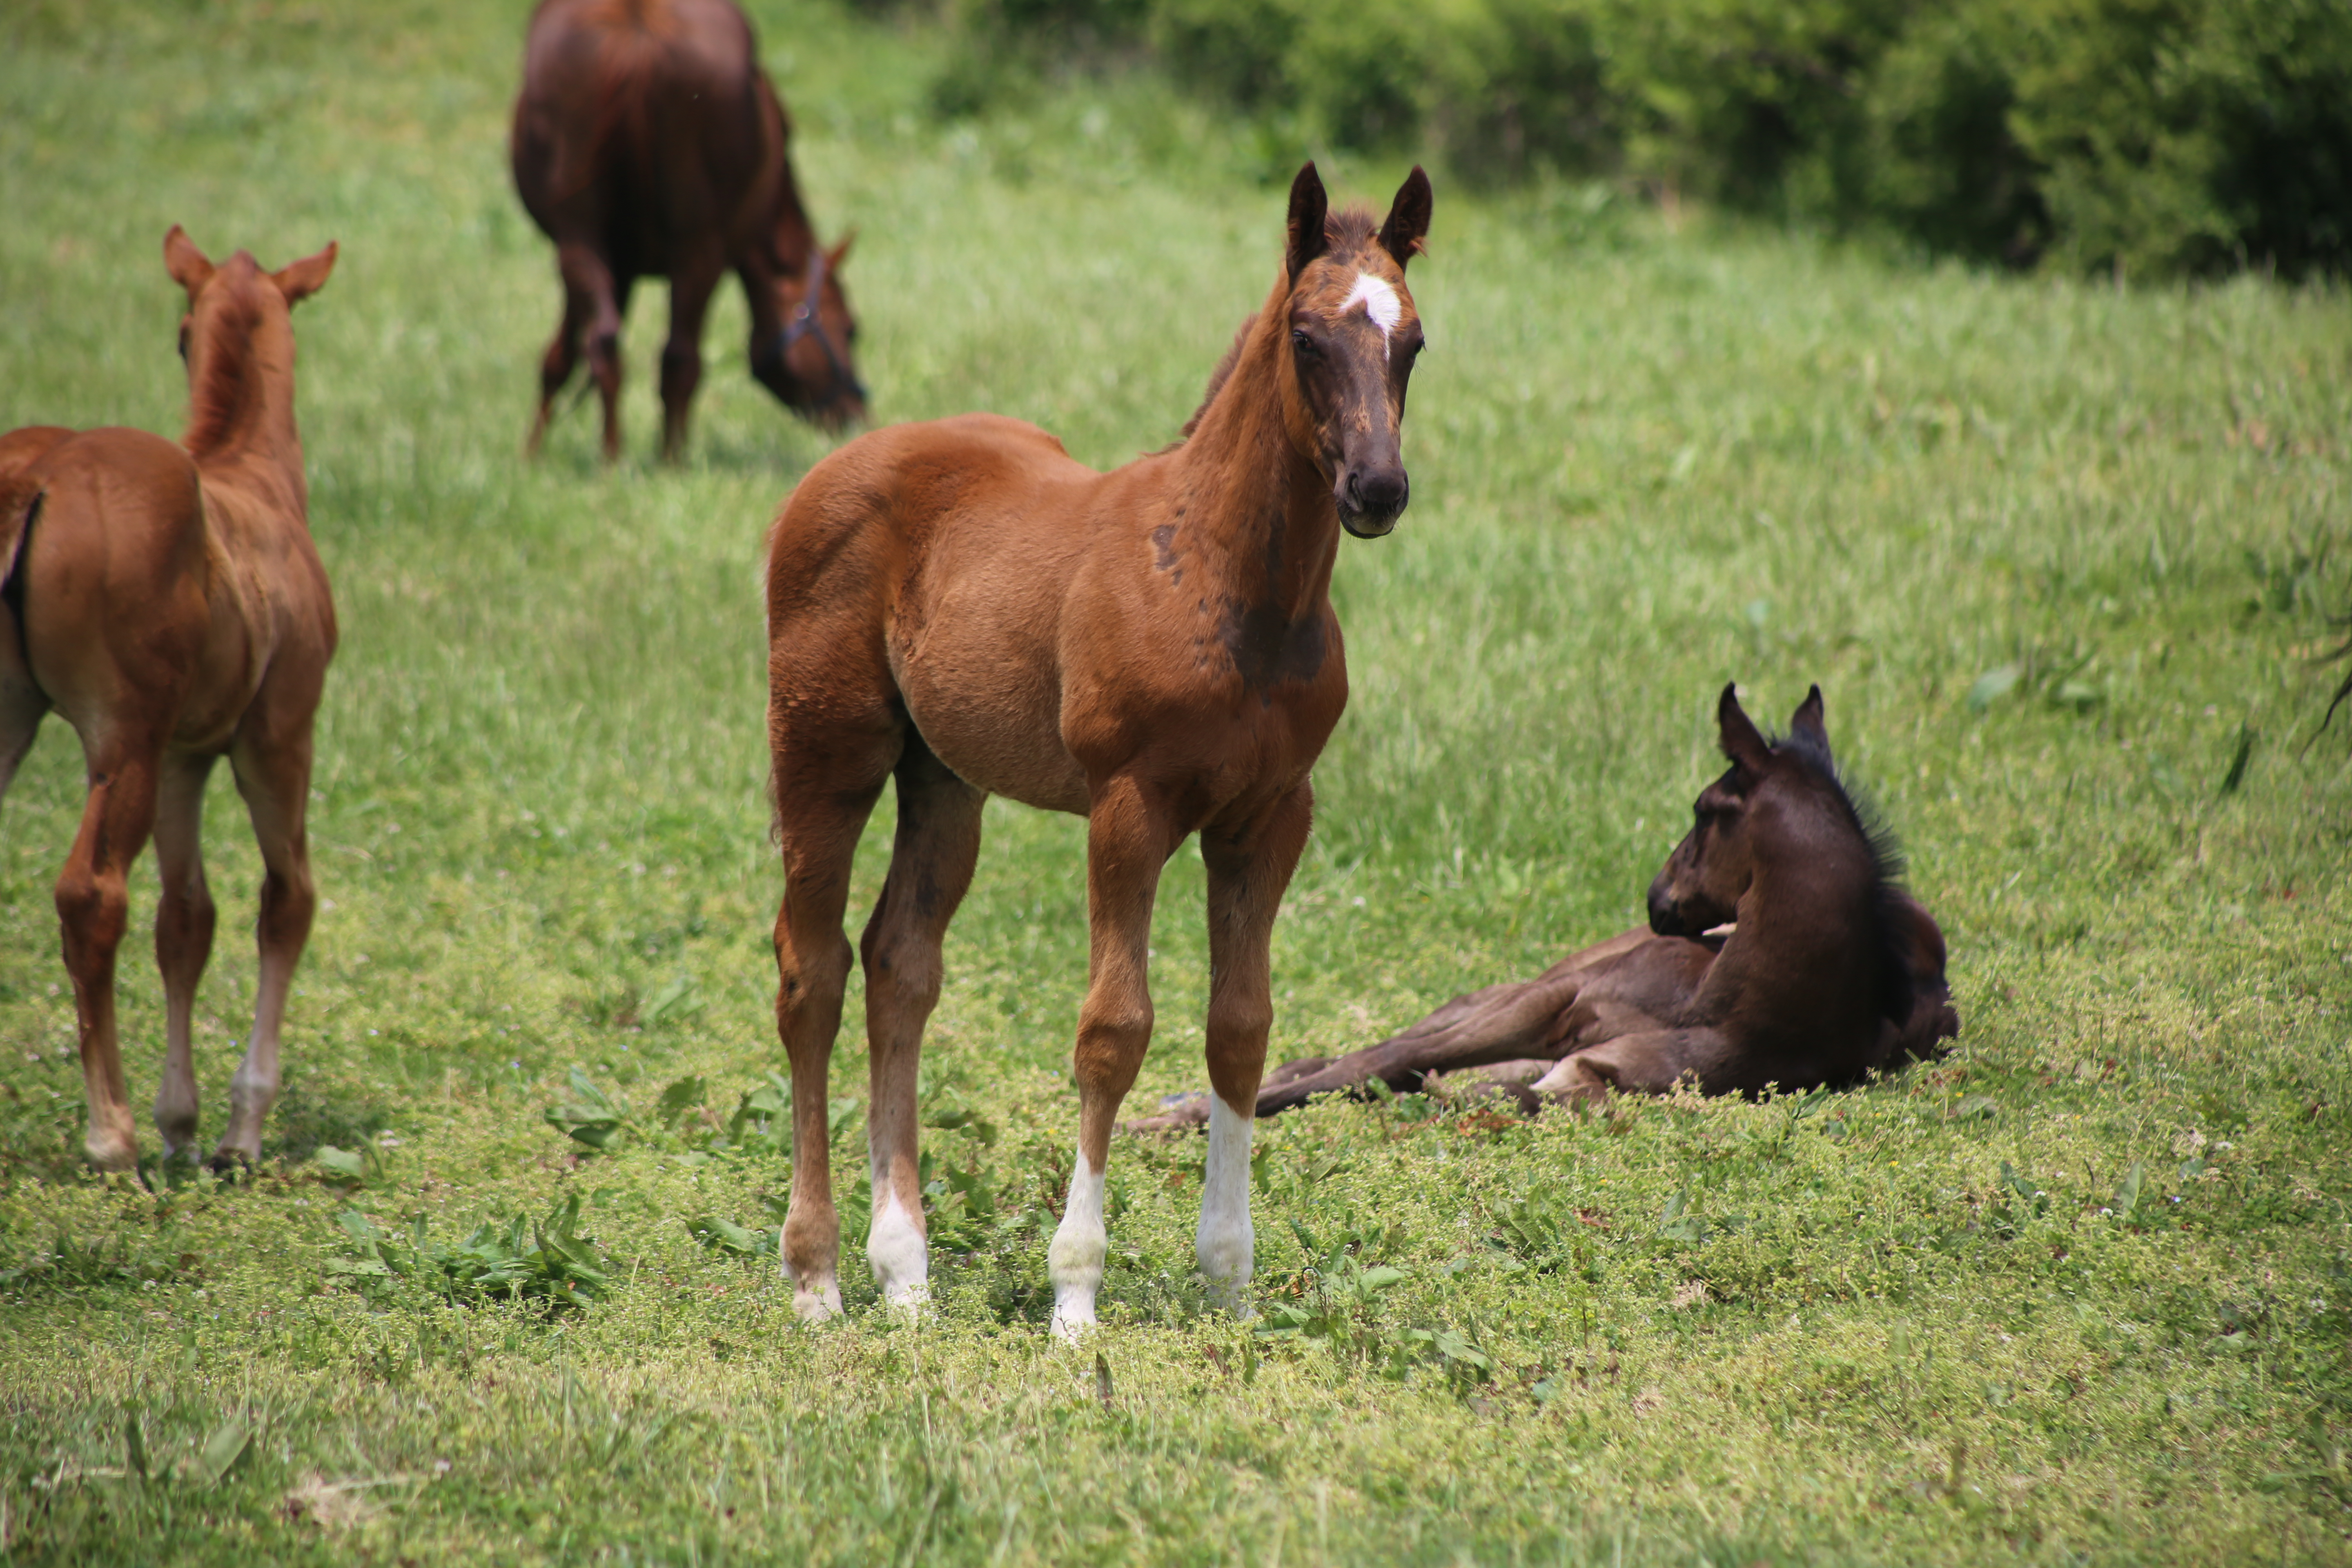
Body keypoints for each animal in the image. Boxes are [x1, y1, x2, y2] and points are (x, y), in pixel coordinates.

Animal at [0, 227, 341, 1171]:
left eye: (182, 331)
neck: (254, 479)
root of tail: (34, 480)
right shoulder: (279, 736)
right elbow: (286, 900)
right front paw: (239, 1130)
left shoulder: (189, 755)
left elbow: (187, 919)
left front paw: (182, 1123)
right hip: (125, 735)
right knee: (93, 895)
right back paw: (110, 1135)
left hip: (36, 723)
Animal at [515, 0, 875, 461]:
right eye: (850, 329)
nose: (856, 417)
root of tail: (638, 21)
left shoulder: (608, 256)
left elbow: (561, 354)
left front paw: (532, 454)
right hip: (699, 250)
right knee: (677, 357)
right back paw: (671, 461)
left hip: (592, 239)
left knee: (616, 345)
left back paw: (620, 459)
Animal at [771, 165, 1430, 1335]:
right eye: (1306, 337)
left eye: (1414, 340)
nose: (1376, 490)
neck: (1224, 581)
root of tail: (831, 468)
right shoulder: (1131, 807)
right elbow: (1114, 1029)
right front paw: (1074, 1293)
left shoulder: (1271, 814)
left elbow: (1241, 1028)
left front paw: (1230, 1280)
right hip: (825, 754)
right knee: (812, 972)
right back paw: (816, 1274)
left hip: (944, 778)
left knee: (900, 965)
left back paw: (906, 1271)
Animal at [1129, 686, 1957, 1128]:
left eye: (1703, 809)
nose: (1657, 901)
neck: (1728, 1005)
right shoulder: (1553, 999)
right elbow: (1378, 1060)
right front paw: (1171, 1116)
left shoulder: (1579, 1072)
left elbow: (1458, 1086)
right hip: (1515, 989)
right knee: (1372, 1047)